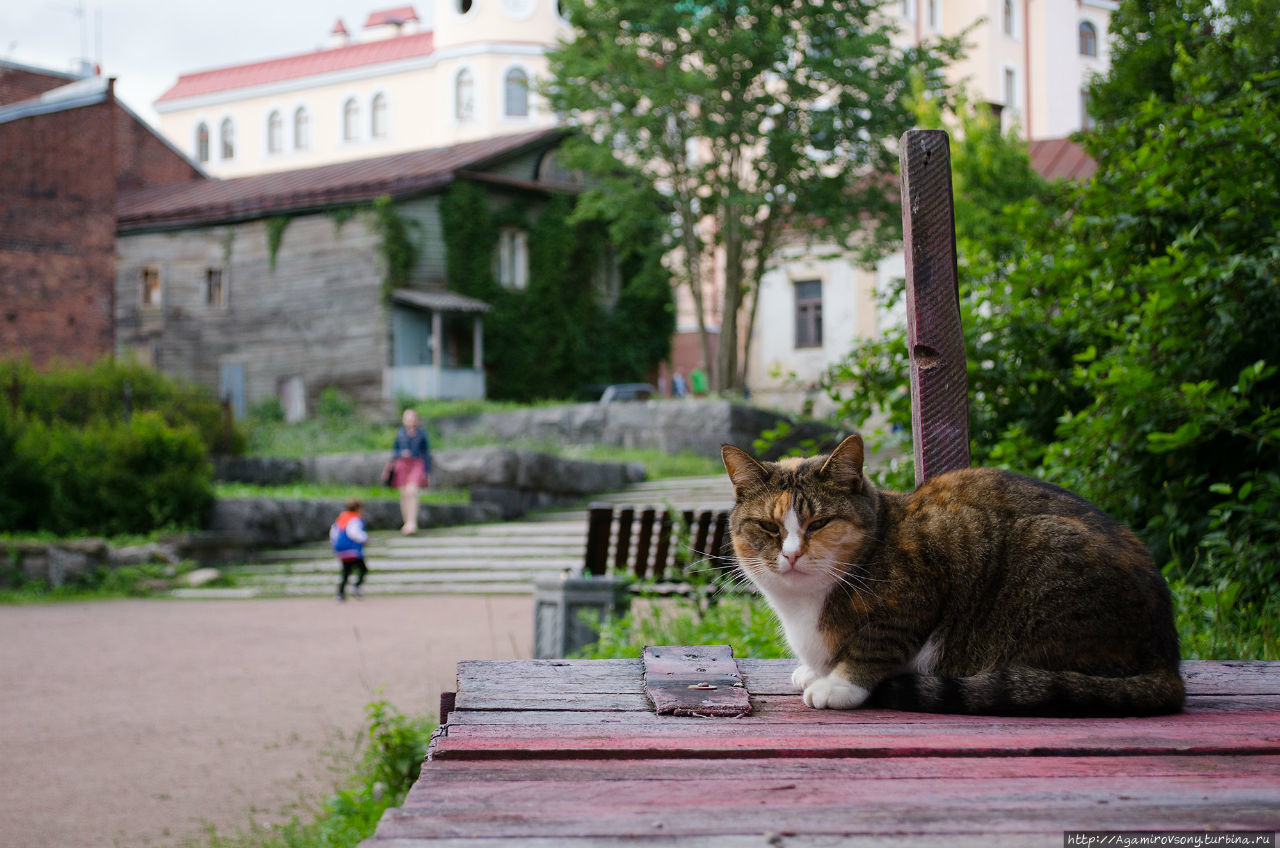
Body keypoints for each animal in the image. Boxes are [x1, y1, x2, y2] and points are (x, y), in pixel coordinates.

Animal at [727, 432, 1182, 717]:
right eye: (769, 528)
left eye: (819, 523)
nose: (791, 555)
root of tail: (1167, 660)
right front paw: (815, 671)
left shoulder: (920, 588)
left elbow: (875, 644)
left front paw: (837, 685)